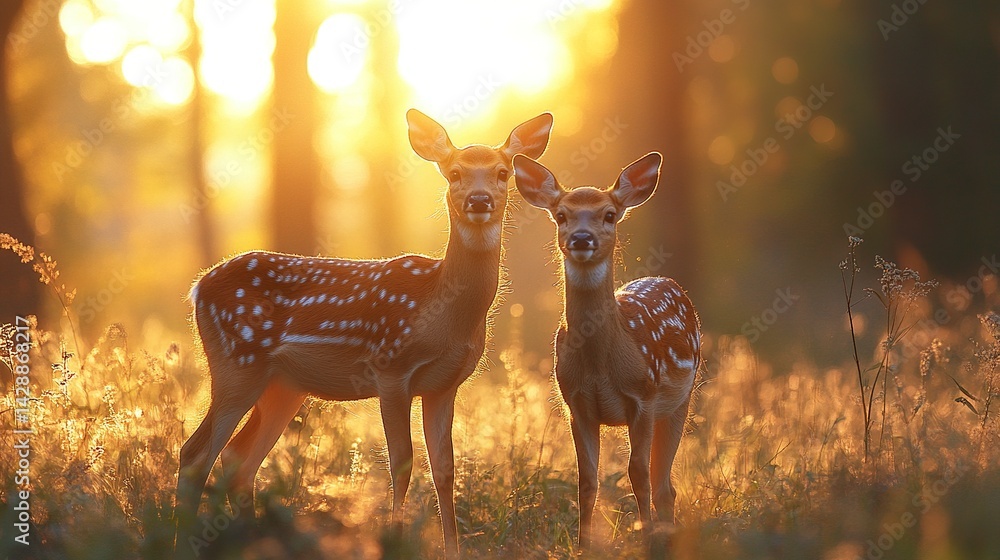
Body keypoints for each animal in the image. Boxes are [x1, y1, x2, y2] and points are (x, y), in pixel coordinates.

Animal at [175, 109, 553, 558]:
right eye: (454, 172)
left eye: (502, 172)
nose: (479, 201)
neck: (442, 313)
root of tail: (198, 287)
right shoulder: (391, 369)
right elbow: (402, 462)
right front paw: (395, 541)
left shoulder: (444, 385)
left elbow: (445, 469)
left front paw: (453, 549)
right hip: (237, 363)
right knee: (196, 454)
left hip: (283, 385)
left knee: (237, 459)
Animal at [511, 152, 700, 548]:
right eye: (561, 215)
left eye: (609, 214)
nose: (582, 238)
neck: (600, 366)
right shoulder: (575, 403)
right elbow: (586, 480)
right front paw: (583, 546)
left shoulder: (644, 397)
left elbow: (637, 474)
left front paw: (646, 539)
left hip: (681, 401)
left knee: (664, 484)